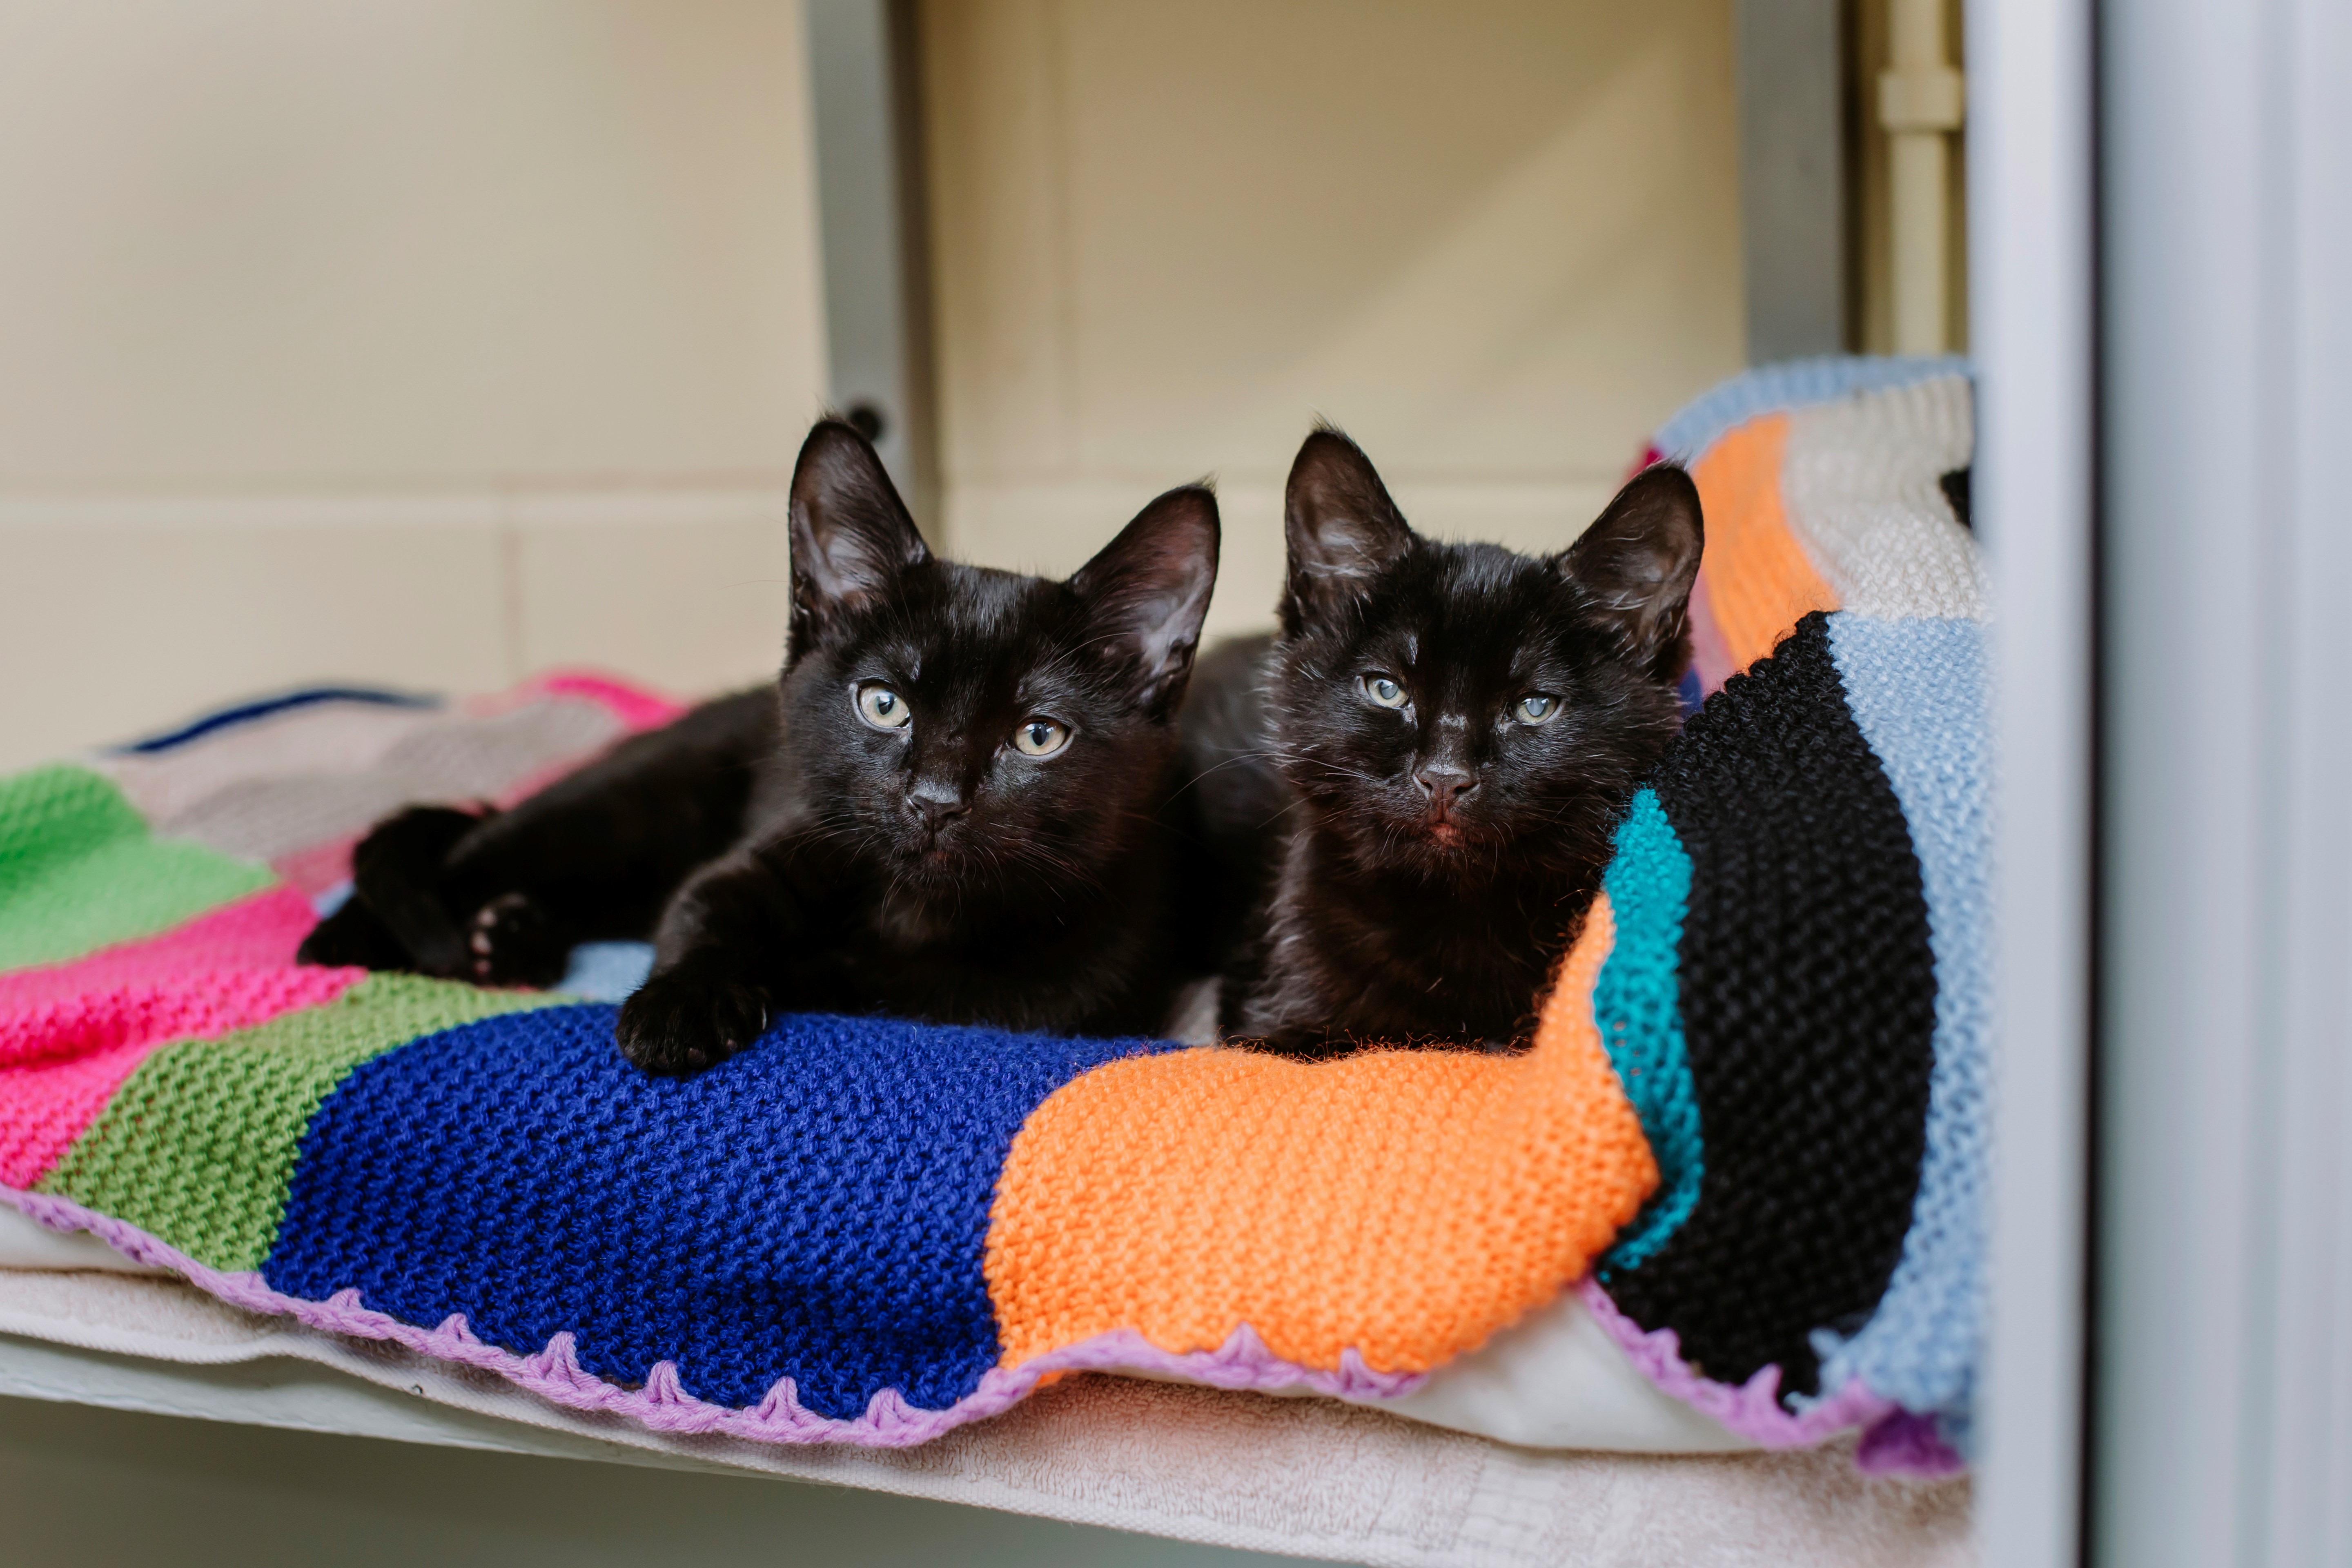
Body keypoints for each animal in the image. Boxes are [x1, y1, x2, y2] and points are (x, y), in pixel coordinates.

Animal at [303, 421, 1223, 1081]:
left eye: (1038, 736)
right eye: (883, 704)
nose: (933, 800)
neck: (919, 913)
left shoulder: (1076, 986)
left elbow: (888, 993)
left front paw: (801, 977)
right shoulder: (771, 847)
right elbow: (702, 908)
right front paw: (681, 1009)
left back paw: (511, 937)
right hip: (621, 806)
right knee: (476, 848)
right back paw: (351, 945)